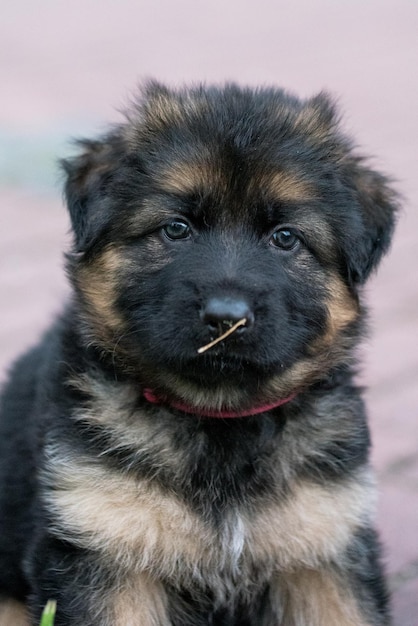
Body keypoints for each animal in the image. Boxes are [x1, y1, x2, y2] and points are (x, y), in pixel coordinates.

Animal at [0, 84, 396, 624]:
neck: (220, 421)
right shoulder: (103, 550)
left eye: (285, 237)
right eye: (176, 228)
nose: (226, 318)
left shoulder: (325, 550)